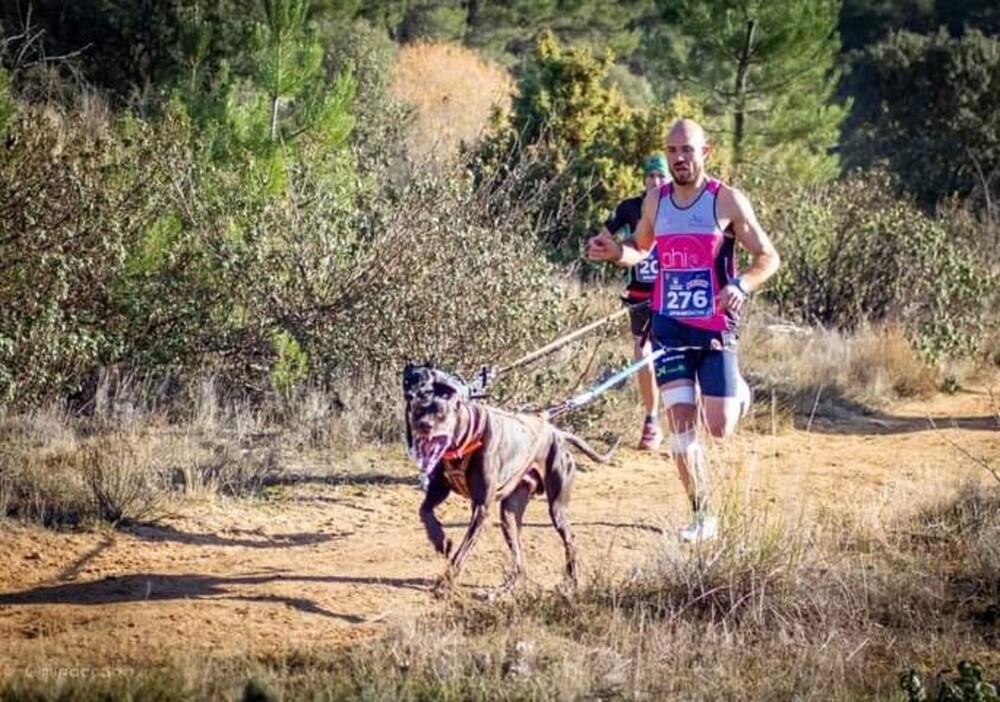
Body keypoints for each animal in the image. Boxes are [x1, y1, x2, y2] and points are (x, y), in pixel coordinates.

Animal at [402, 364, 612, 600]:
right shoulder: (439, 489)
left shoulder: (481, 507)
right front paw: (441, 540)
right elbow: (425, 511)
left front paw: (445, 583)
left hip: (556, 508)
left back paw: (571, 582)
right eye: (417, 411)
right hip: (509, 514)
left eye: (441, 413)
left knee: (570, 540)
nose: (422, 425)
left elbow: (462, 552)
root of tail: (557, 433)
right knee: (520, 561)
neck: (463, 442)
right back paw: (503, 589)